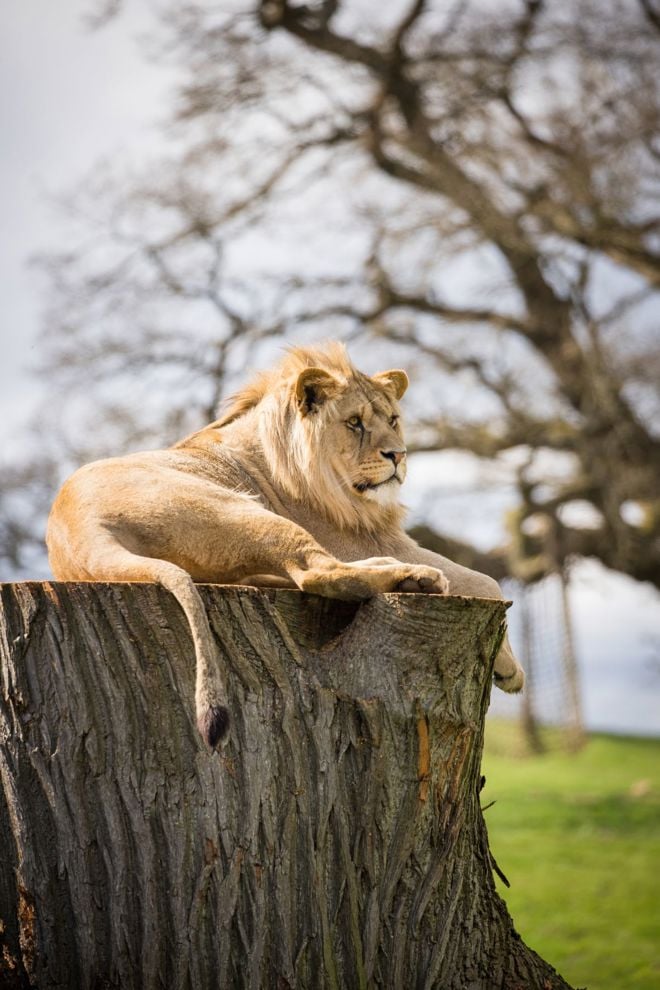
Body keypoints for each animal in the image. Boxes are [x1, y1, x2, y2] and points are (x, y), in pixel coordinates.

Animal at [46, 344, 524, 748]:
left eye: (393, 420)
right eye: (354, 423)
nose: (398, 455)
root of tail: (79, 534)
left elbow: (485, 580)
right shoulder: (362, 538)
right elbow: (488, 580)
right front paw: (510, 671)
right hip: (238, 508)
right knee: (319, 573)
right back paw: (415, 578)